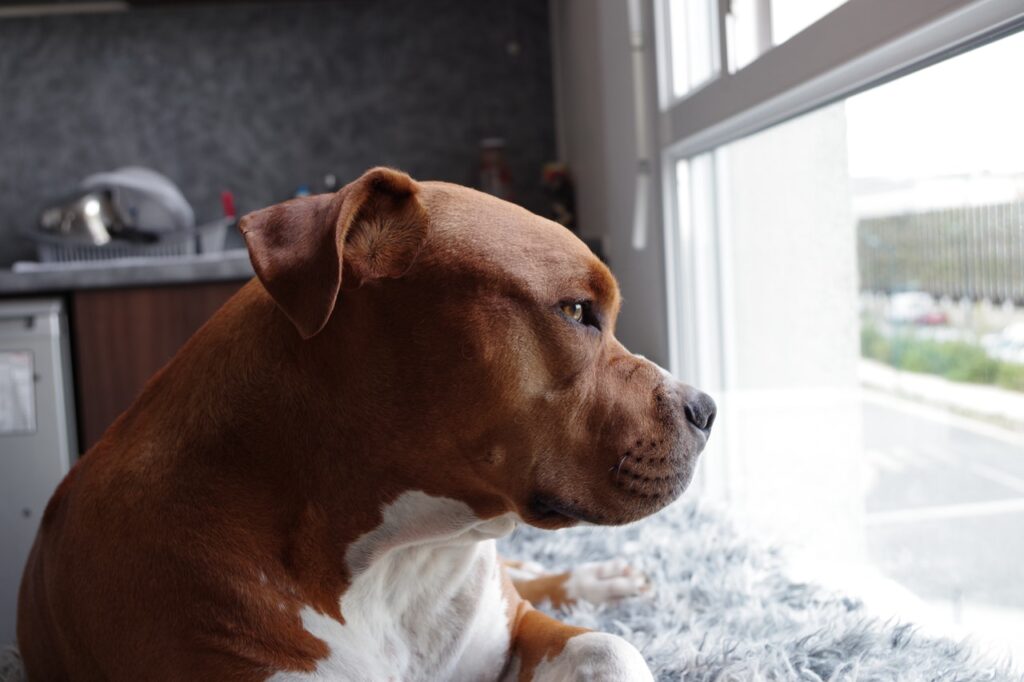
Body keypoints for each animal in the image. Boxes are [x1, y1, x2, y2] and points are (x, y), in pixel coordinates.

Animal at [18, 166, 720, 675]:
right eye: (576, 311)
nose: (706, 409)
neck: (395, 556)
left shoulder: (519, 631)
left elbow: (609, 646)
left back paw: (603, 577)